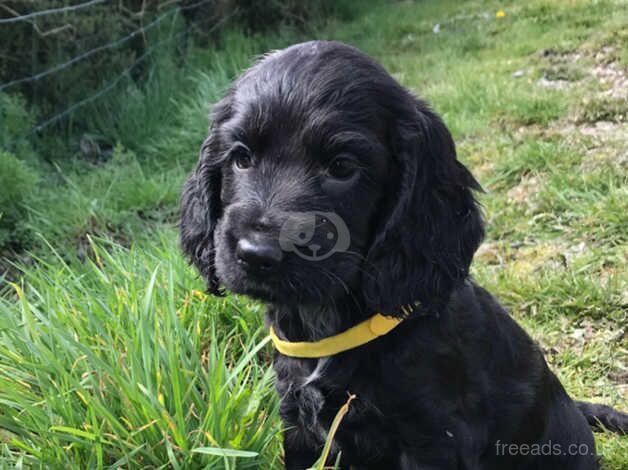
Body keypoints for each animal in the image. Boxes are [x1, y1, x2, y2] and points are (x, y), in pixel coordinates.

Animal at [179, 41, 624, 470]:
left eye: (342, 167)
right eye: (241, 157)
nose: (256, 254)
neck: (329, 323)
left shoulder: (433, 440)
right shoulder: (299, 428)